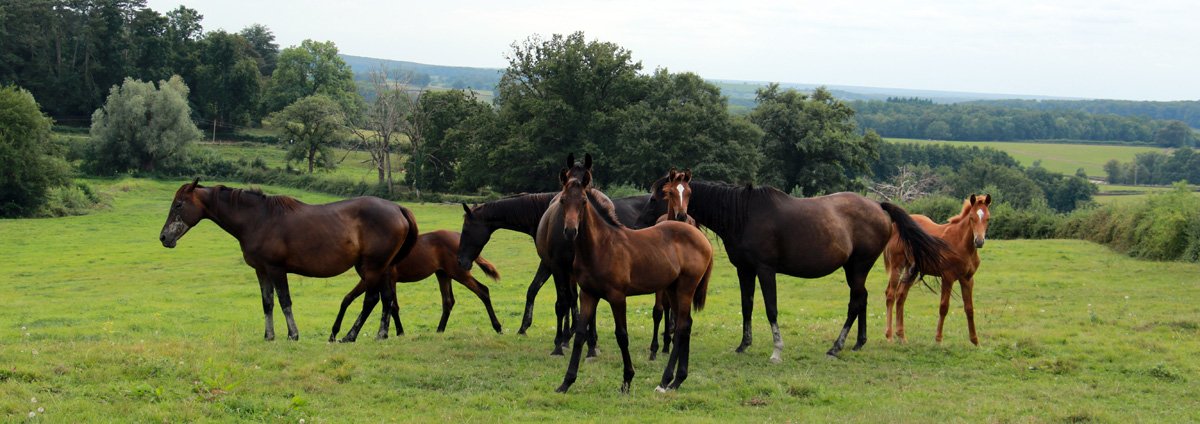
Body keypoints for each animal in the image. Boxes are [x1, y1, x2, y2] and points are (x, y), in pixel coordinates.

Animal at [158, 178, 418, 342]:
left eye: (178, 204)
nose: (163, 237)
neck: (258, 219)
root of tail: (398, 208)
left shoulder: (276, 269)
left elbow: (284, 301)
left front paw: (293, 334)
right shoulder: (261, 271)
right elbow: (267, 303)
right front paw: (269, 335)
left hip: (372, 267)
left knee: (371, 299)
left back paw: (349, 336)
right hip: (382, 268)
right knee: (386, 299)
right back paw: (381, 334)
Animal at [327, 230, 505, 342]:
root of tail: (457, 236)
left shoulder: (388, 279)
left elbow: (392, 306)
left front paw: (398, 332)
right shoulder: (369, 280)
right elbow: (347, 299)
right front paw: (333, 333)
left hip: (459, 273)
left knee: (483, 291)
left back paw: (498, 327)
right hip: (443, 274)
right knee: (448, 301)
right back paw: (439, 331)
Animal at [549, 156, 714, 393]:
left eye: (583, 201)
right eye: (562, 200)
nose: (570, 231)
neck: (600, 247)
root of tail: (701, 238)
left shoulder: (617, 297)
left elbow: (622, 336)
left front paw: (627, 379)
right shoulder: (587, 294)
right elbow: (580, 334)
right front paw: (566, 382)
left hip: (685, 287)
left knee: (682, 326)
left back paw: (665, 380)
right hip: (672, 288)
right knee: (686, 324)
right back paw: (677, 379)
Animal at [640, 179, 949, 360]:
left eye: (660, 194)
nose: (678, 218)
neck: (743, 214)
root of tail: (878, 205)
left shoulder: (765, 270)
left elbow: (771, 309)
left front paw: (776, 350)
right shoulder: (744, 270)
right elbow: (746, 306)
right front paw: (744, 344)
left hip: (858, 267)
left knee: (855, 302)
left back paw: (836, 347)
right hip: (854, 269)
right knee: (861, 300)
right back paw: (858, 343)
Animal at [884, 194, 991, 345]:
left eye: (988, 218)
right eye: (971, 217)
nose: (979, 241)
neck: (962, 244)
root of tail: (894, 226)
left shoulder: (967, 279)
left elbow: (969, 308)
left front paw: (975, 341)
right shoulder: (948, 277)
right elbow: (944, 307)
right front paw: (938, 339)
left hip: (912, 269)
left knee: (901, 295)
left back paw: (902, 336)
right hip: (897, 266)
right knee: (890, 295)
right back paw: (889, 336)